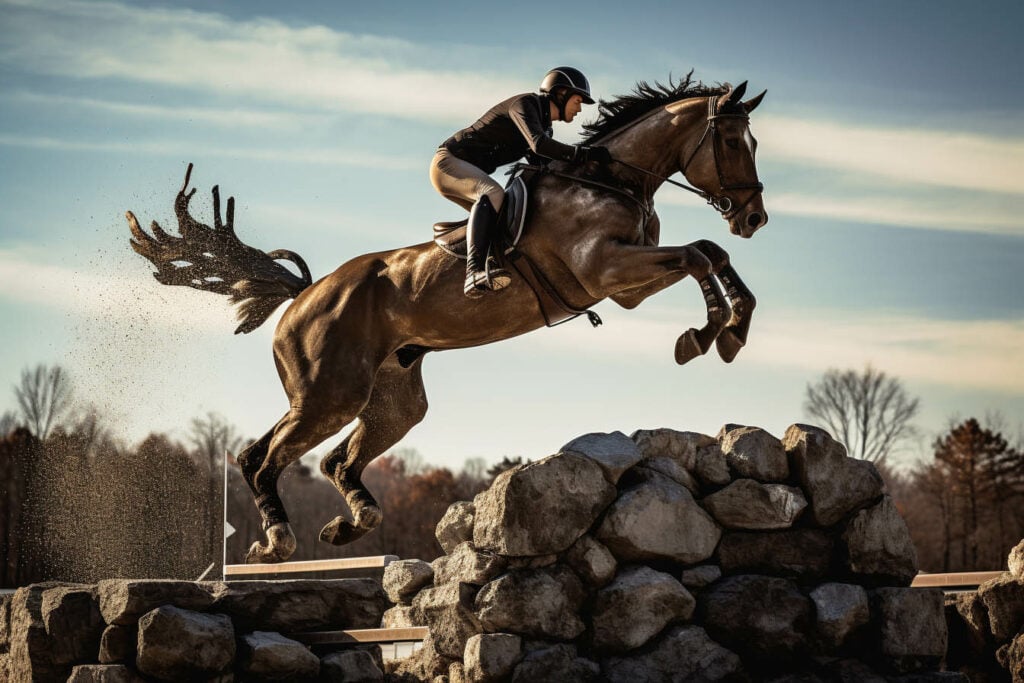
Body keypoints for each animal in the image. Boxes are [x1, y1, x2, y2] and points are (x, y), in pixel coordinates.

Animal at [125, 76, 770, 565]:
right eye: (732, 140)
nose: (755, 218)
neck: (607, 178)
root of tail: (302, 297)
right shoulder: (606, 270)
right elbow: (699, 255)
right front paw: (709, 333)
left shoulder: (626, 288)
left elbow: (709, 252)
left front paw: (728, 331)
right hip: (328, 395)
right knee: (263, 457)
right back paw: (280, 540)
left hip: (390, 400)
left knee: (329, 459)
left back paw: (349, 524)